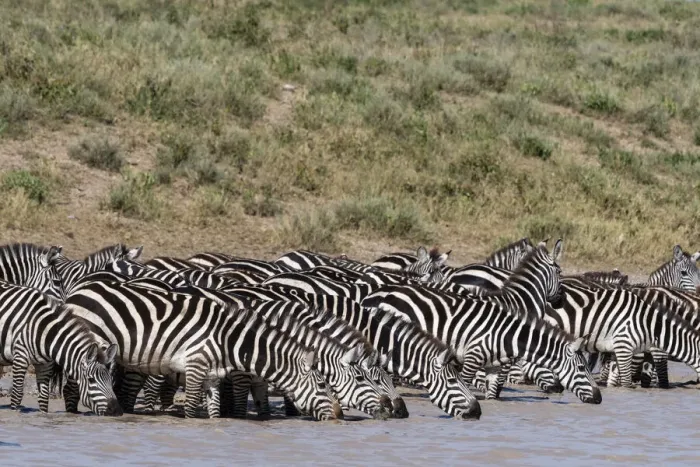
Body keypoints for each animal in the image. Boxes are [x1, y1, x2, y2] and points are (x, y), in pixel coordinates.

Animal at [65, 280, 340, 420]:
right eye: (321, 385)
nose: (335, 417)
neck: (227, 340)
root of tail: (77, 290)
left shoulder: (213, 376)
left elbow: (215, 414)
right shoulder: (195, 367)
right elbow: (189, 409)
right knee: (72, 383)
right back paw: (71, 414)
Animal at [361, 284, 601, 404]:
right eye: (582, 368)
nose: (599, 399)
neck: (507, 335)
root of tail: (377, 294)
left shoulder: (494, 366)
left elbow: (492, 394)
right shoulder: (472, 356)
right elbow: (465, 383)